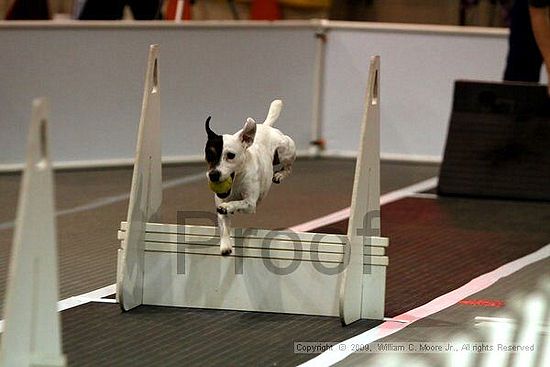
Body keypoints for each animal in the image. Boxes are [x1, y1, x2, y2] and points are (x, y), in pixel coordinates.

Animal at [205, 100, 296, 256]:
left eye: (231, 155)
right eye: (209, 155)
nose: (213, 175)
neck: (236, 182)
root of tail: (266, 126)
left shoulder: (250, 204)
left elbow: (239, 203)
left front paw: (228, 206)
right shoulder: (220, 202)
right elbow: (224, 225)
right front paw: (225, 245)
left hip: (285, 150)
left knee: (288, 167)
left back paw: (280, 175)